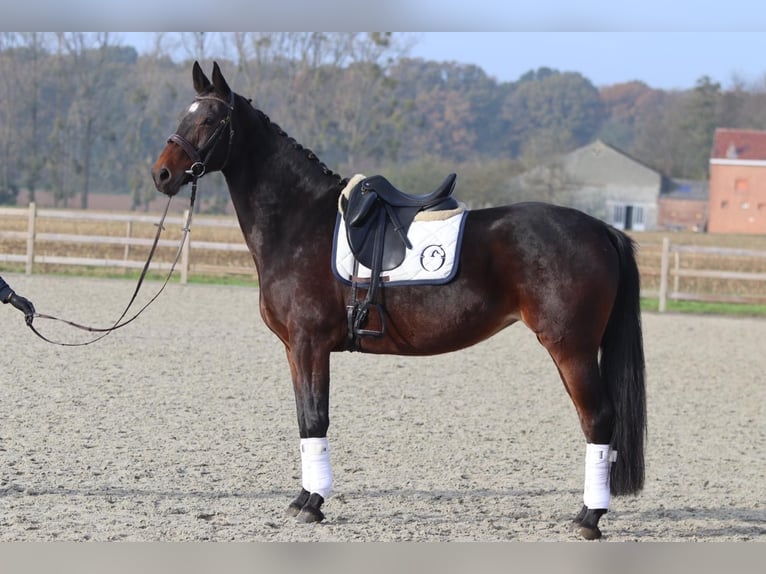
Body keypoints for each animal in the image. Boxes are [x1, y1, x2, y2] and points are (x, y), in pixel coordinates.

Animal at [152, 62, 648, 540]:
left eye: (210, 120)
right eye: (183, 115)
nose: (161, 174)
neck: (300, 223)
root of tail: (603, 229)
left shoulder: (310, 344)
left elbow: (316, 419)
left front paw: (314, 504)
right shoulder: (295, 349)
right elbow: (304, 420)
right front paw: (303, 498)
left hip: (572, 348)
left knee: (598, 420)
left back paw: (588, 518)